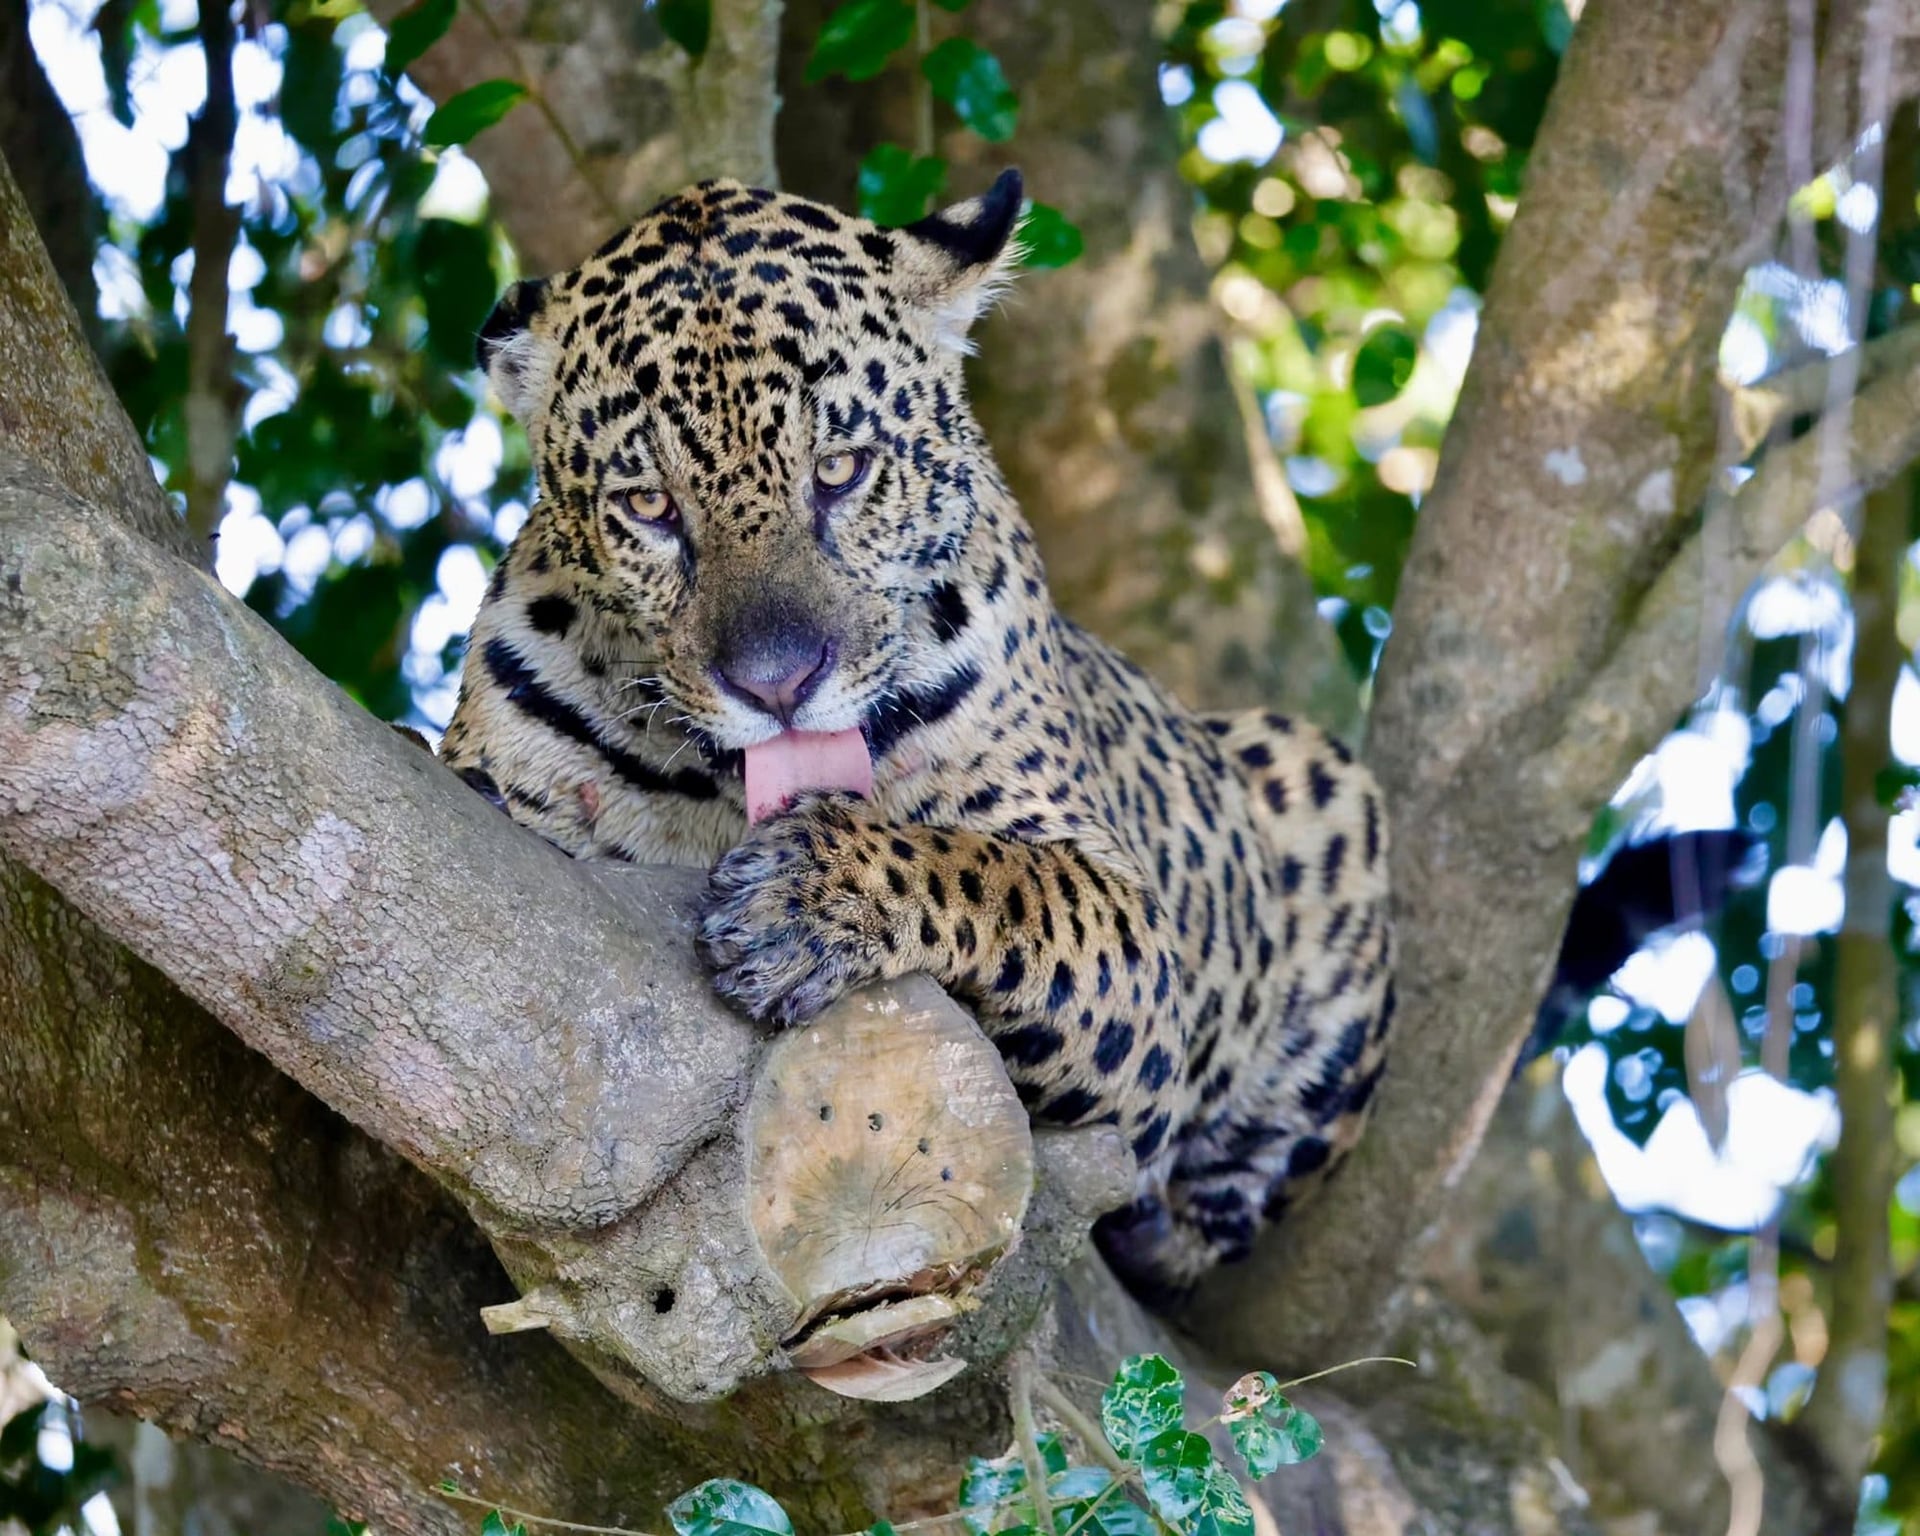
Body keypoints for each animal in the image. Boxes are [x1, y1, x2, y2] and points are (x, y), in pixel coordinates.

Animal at [439, 169, 1394, 1305]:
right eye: (648, 504)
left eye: (842, 470)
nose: (777, 683)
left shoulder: (1132, 926)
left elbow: (998, 879)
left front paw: (804, 902)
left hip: (1322, 783)